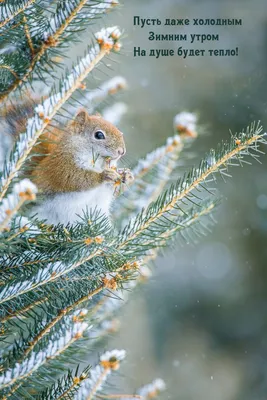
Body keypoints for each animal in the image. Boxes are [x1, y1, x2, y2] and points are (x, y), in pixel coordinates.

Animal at [0, 104, 134, 225]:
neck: (97, 164)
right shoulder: (63, 166)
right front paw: (104, 175)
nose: (122, 151)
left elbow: (113, 191)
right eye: (99, 135)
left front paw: (126, 175)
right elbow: (77, 179)